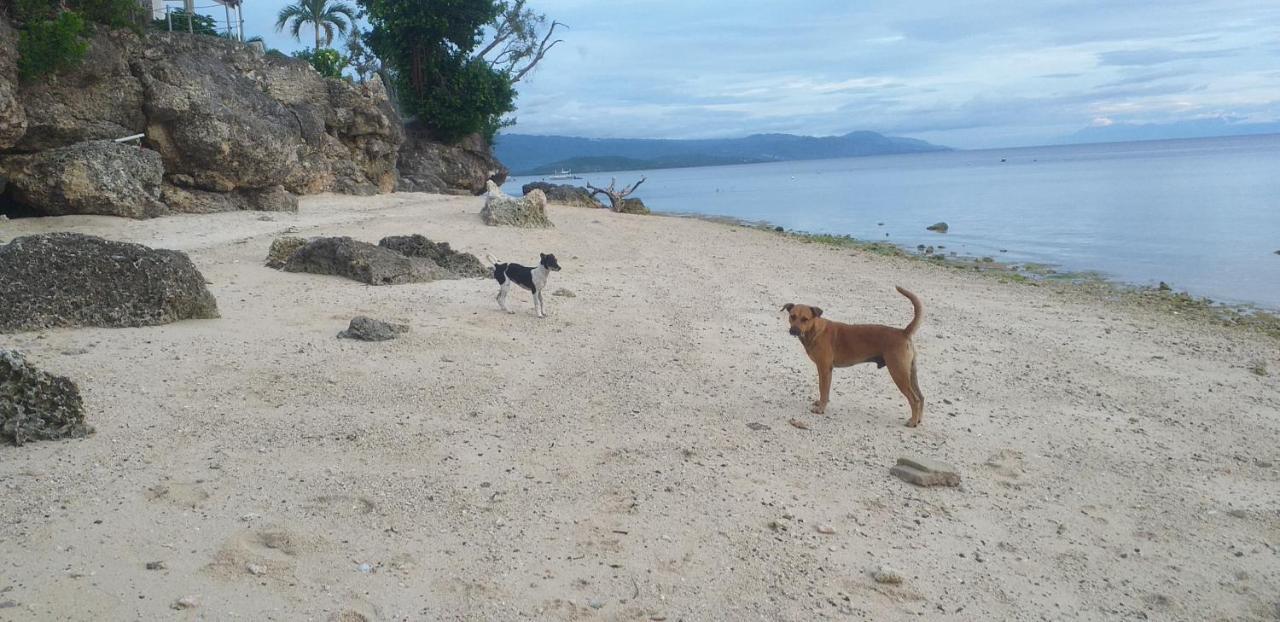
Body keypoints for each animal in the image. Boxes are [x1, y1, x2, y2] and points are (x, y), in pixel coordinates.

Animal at [783, 287, 926, 424]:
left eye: (805, 319)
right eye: (792, 316)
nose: (793, 330)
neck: (815, 330)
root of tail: (903, 332)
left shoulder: (824, 369)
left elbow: (824, 390)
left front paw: (821, 408)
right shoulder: (823, 369)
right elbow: (822, 388)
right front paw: (820, 403)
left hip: (898, 373)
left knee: (914, 399)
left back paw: (912, 422)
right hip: (910, 373)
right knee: (921, 397)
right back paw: (918, 419)